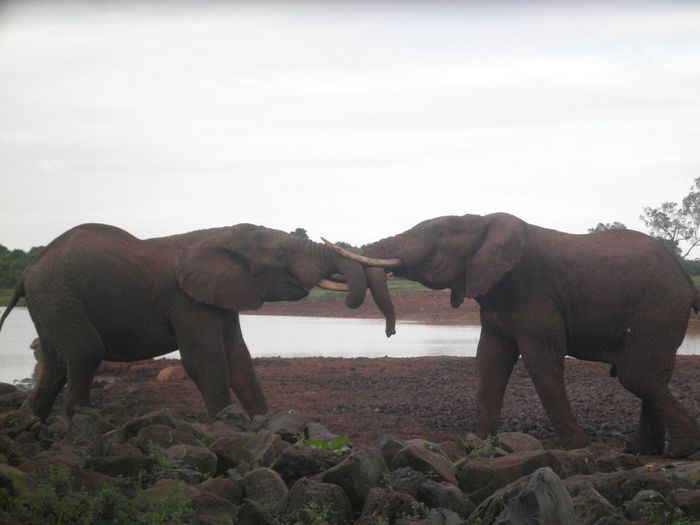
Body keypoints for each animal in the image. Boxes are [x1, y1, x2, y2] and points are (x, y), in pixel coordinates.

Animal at [0, 223, 393, 421]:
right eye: (282, 255)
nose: (390, 332)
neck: (217, 235)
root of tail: (29, 270)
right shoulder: (186, 300)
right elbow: (207, 361)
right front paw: (226, 427)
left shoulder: (221, 295)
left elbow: (238, 358)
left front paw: (264, 426)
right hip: (60, 297)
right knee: (83, 356)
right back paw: (77, 423)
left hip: (51, 304)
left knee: (56, 364)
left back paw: (36, 421)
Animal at [326, 212, 700, 458]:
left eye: (439, 234)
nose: (390, 333)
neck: (483, 222)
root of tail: (684, 276)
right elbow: (490, 359)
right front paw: (479, 445)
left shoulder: (534, 291)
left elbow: (541, 361)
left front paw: (577, 446)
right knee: (651, 376)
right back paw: (641, 451)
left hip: (657, 308)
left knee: (638, 377)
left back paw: (679, 451)